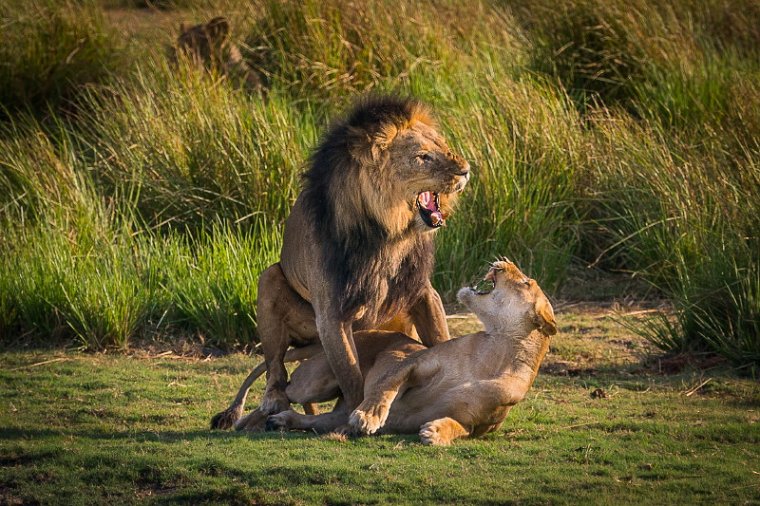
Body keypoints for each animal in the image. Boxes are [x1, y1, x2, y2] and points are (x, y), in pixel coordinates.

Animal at [209, 96, 470, 430]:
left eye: (443, 146)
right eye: (423, 157)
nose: (466, 171)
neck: (388, 234)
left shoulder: (422, 293)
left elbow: (439, 340)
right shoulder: (331, 315)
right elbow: (351, 376)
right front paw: (356, 415)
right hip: (270, 280)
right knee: (275, 367)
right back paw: (272, 403)